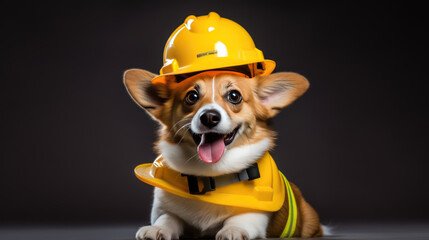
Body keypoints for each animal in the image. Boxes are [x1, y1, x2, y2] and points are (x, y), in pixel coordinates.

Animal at [122, 67, 322, 238]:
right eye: (191, 96)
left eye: (234, 96)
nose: (209, 116)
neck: (209, 174)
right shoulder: (163, 208)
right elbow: (168, 217)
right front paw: (157, 229)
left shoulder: (257, 213)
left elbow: (240, 218)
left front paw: (232, 230)